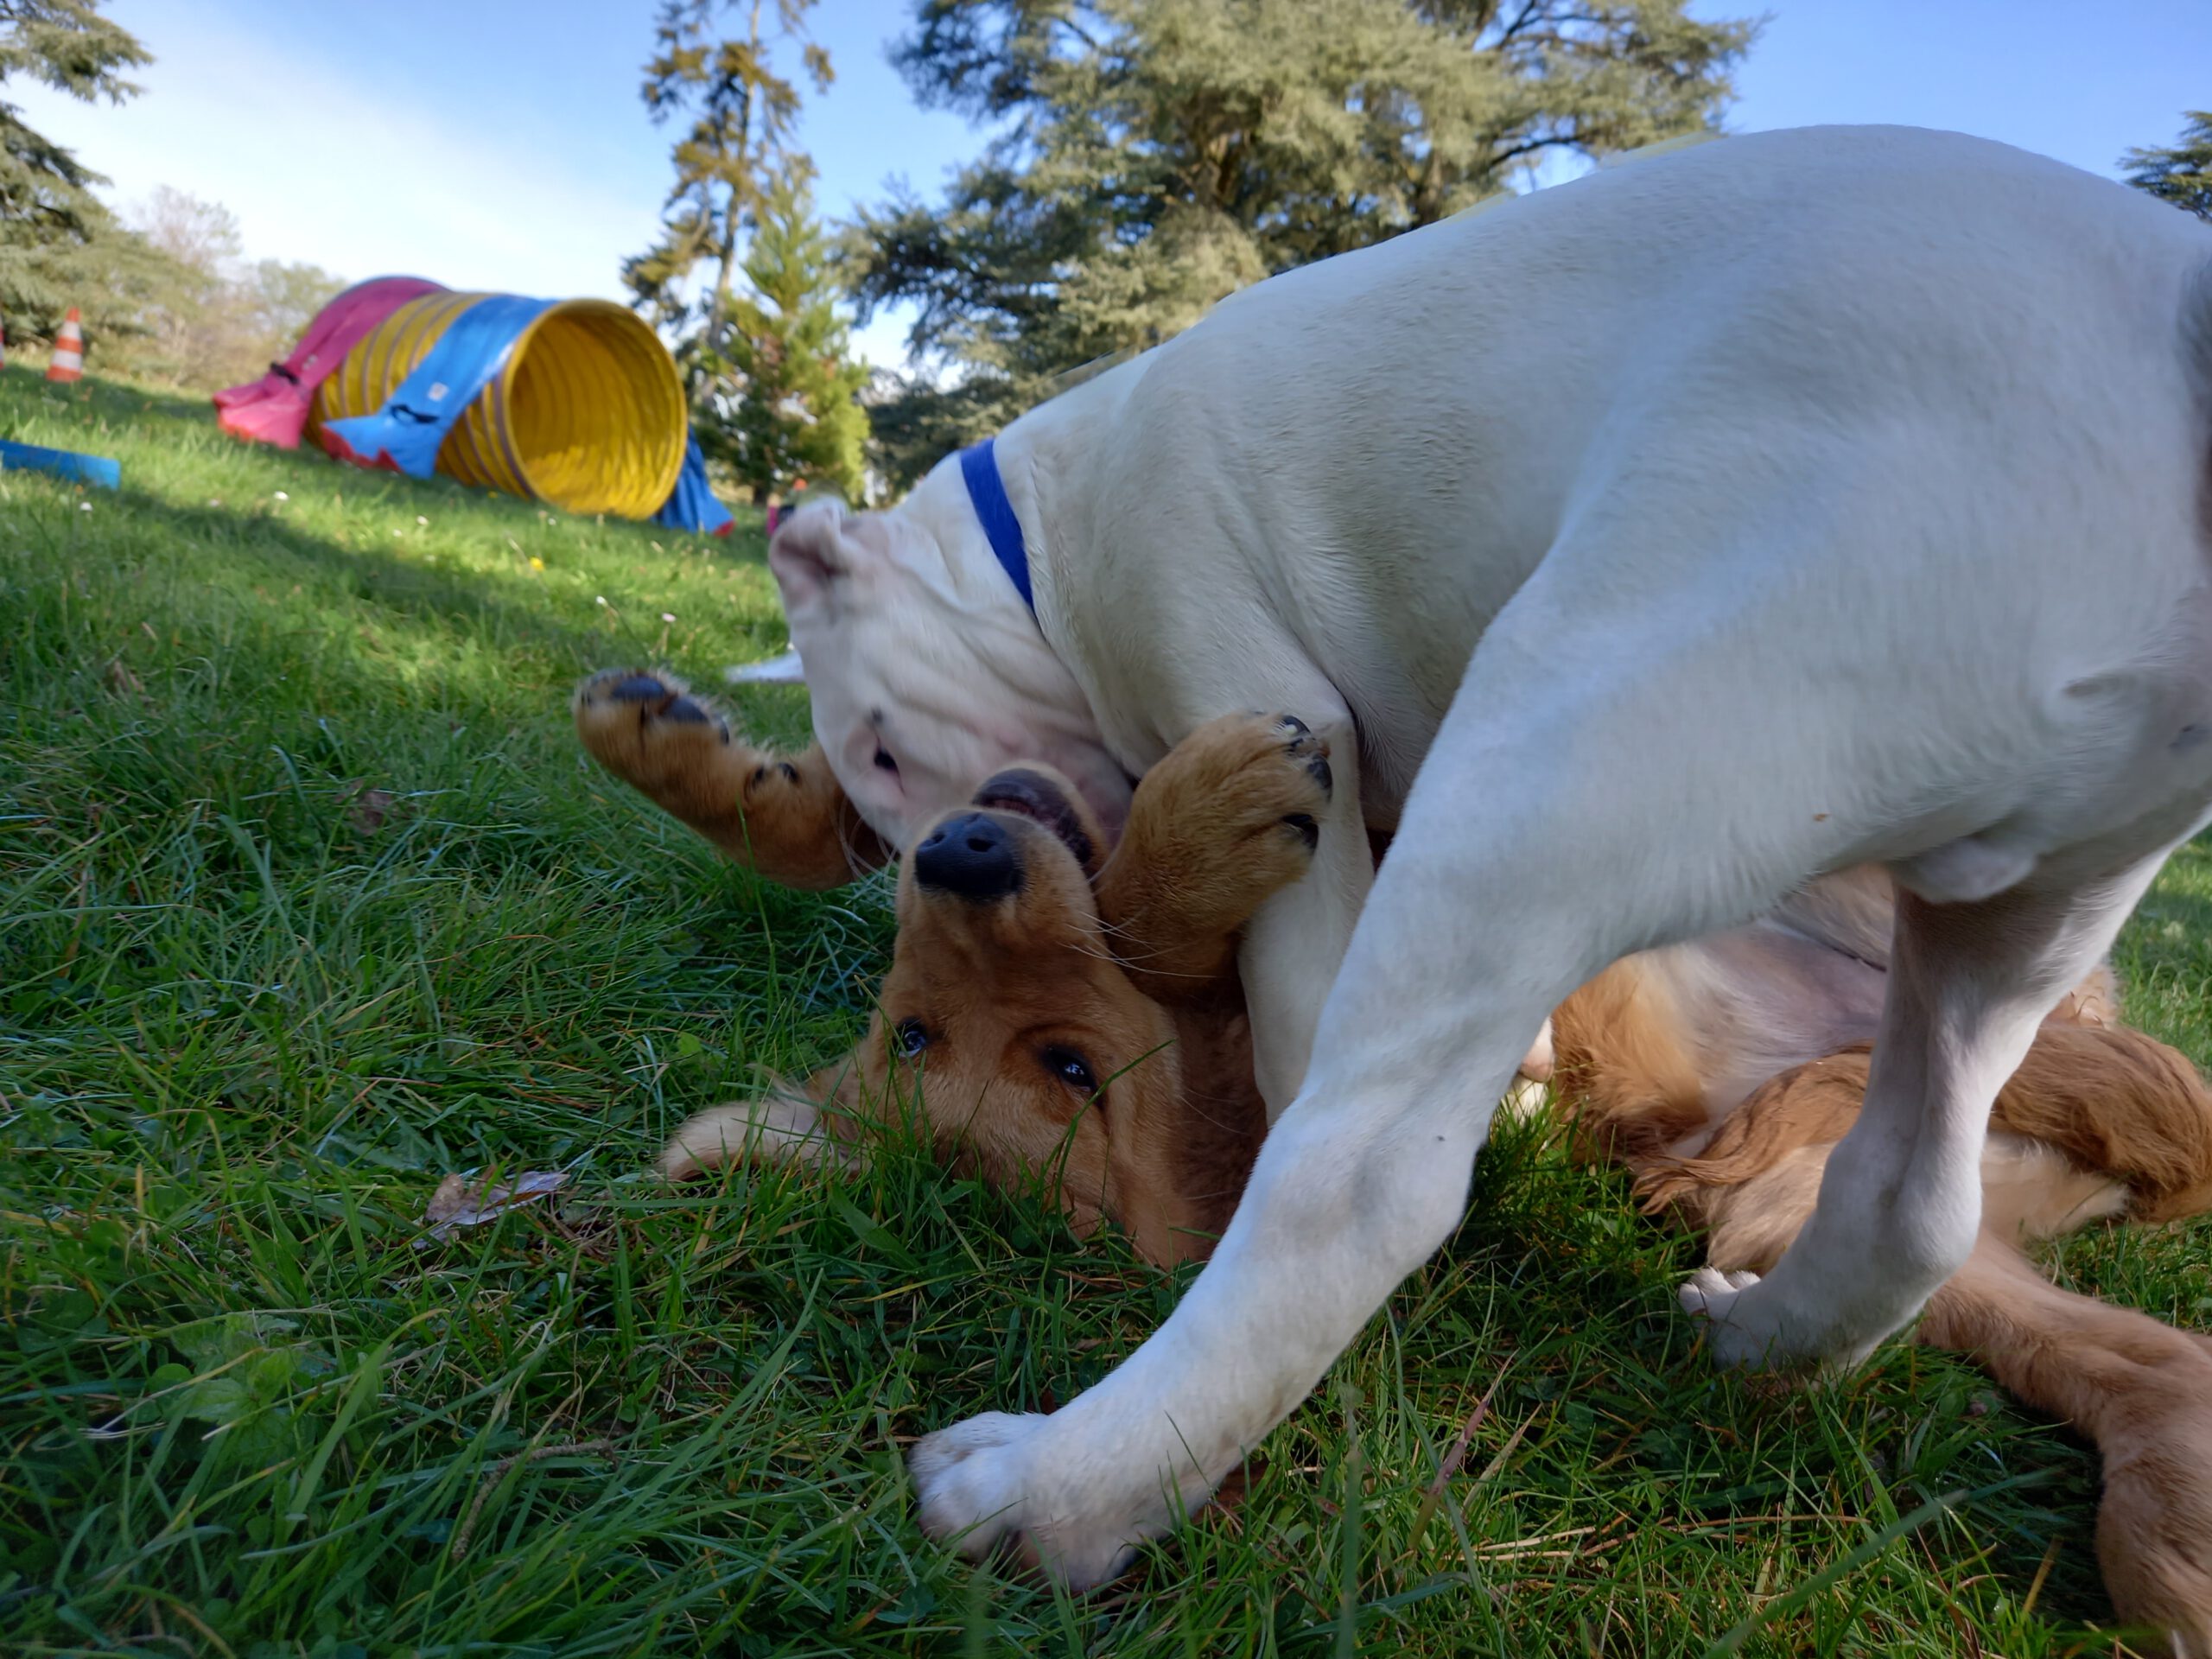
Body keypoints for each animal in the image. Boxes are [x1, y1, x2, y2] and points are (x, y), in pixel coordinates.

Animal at [575, 668, 2212, 1654]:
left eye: (1055, 1062)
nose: (963, 855)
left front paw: (675, 749)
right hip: (1795, 1206)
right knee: (2120, 1342)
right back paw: (2175, 1532)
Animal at [756, 126, 2212, 1583]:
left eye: (879, 752)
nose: (949, 852)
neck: (1045, 534)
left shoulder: (1255, 685)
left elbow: (1293, 1037)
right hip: (2022, 918)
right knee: (1912, 1203)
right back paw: (1758, 1339)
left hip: (1558, 751)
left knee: (1363, 1187)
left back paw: (1056, 1491)